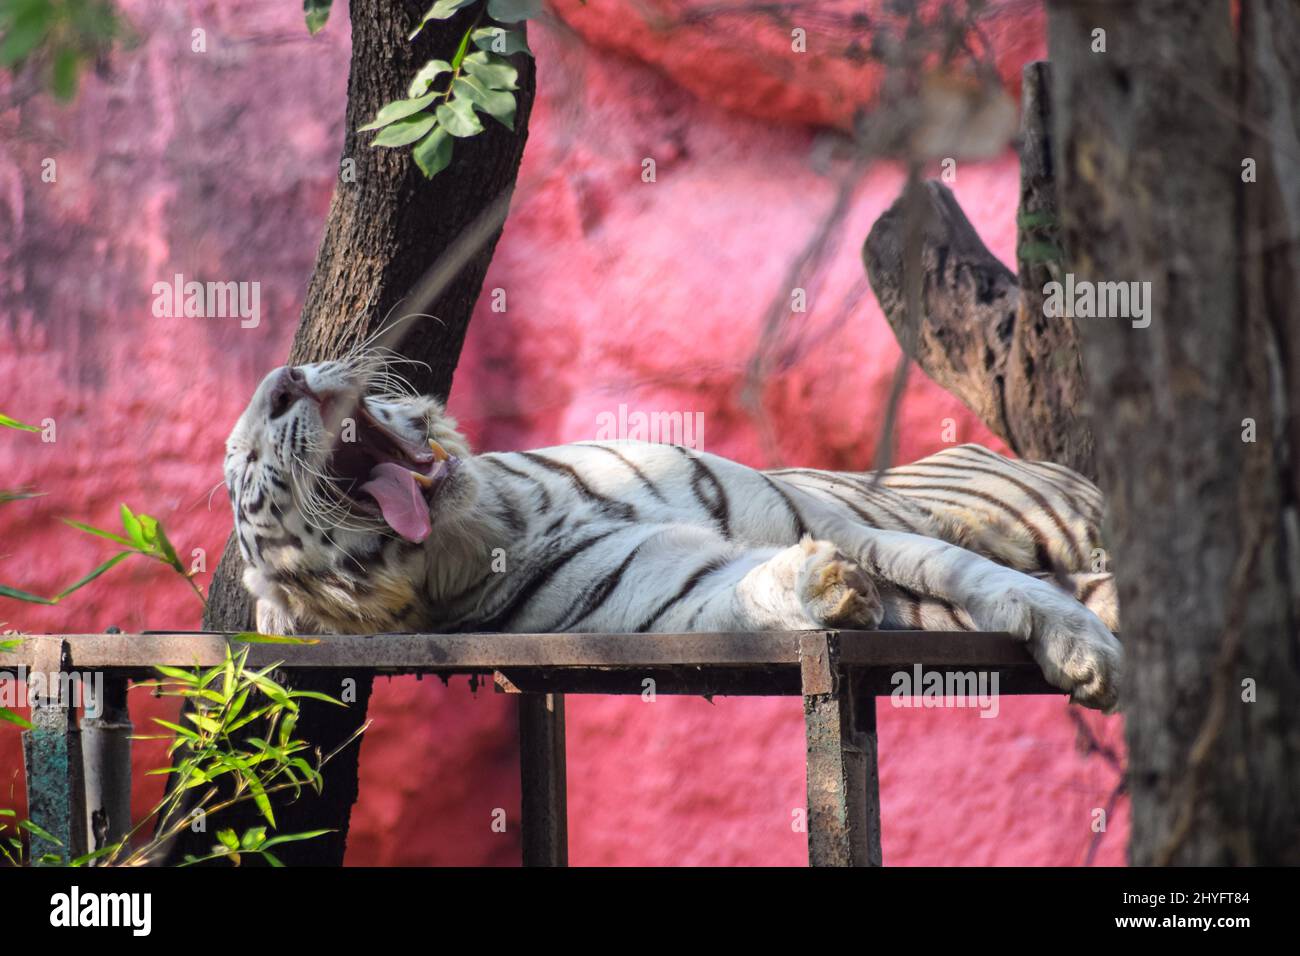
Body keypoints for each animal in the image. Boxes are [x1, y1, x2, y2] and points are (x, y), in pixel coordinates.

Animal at [223, 356, 1118, 712]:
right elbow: (748, 590)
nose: (285, 381)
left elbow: (973, 573)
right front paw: (824, 587)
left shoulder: (829, 515)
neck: (492, 522)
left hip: (1038, 512)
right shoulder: (672, 599)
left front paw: (1087, 653)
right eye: (251, 469)